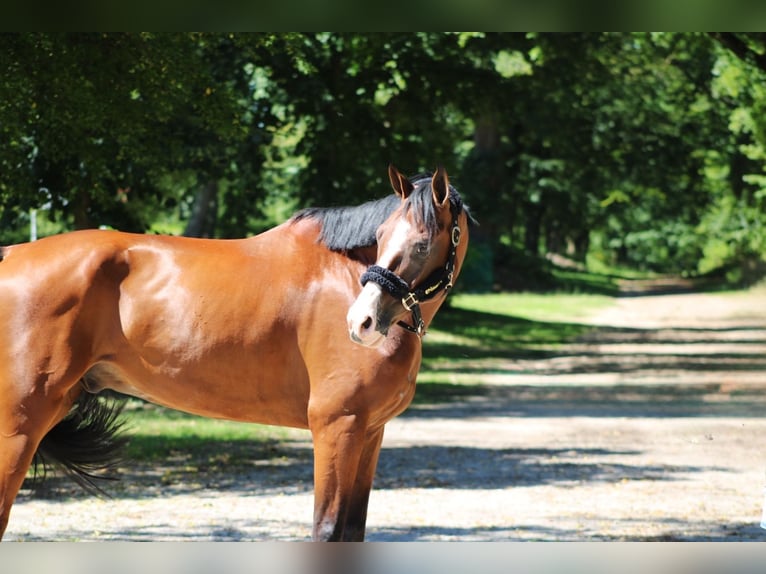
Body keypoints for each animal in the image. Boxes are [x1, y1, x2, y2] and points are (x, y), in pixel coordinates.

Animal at [0, 165, 468, 540]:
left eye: (422, 244)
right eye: (382, 236)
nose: (361, 322)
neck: (339, 275)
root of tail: (10, 253)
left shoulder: (370, 433)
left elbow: (352, 530)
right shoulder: (338, 427)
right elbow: (328, 529)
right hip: (19, 427)